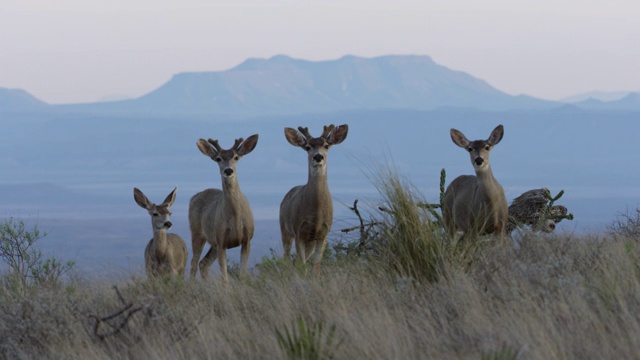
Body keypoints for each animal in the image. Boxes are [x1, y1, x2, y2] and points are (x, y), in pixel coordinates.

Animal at [189, 134, 258, 282]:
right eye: (218, 158)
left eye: (236, 157)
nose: (228, 170)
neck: (235, 220)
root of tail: (194, 197)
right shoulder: (221, 241)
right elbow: (224, 279)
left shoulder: (247, 239)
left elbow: (242, 275)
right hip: (197, 233)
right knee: (193, 263)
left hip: (213, 243)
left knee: (203, 263)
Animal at [278, 124, 348, 276]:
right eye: (308, 147)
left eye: (326, 145)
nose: (318, 156)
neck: (316, 215)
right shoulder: (299, 231)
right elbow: (302, 264)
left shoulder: (324, 234)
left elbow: (316, 265)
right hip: (285, 230)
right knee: (286, 259)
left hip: (310, 240)